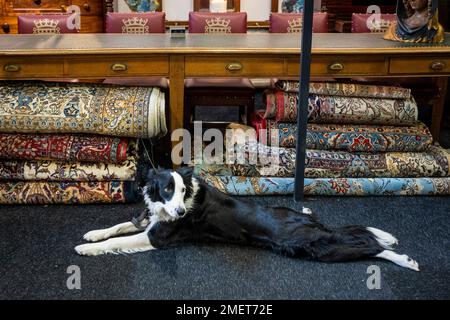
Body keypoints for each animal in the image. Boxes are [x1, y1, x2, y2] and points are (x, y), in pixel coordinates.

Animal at [74, 166, 422, 272]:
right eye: (168, 189)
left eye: (183, 190)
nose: (181, 213)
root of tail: (312, 226)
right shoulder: (149, 219)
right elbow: (117, 226)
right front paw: (91, 234)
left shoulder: (157, 236)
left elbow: (120, 239)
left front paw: (85, 249)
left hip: (317, 247)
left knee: (368, 246)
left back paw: (403, 259)